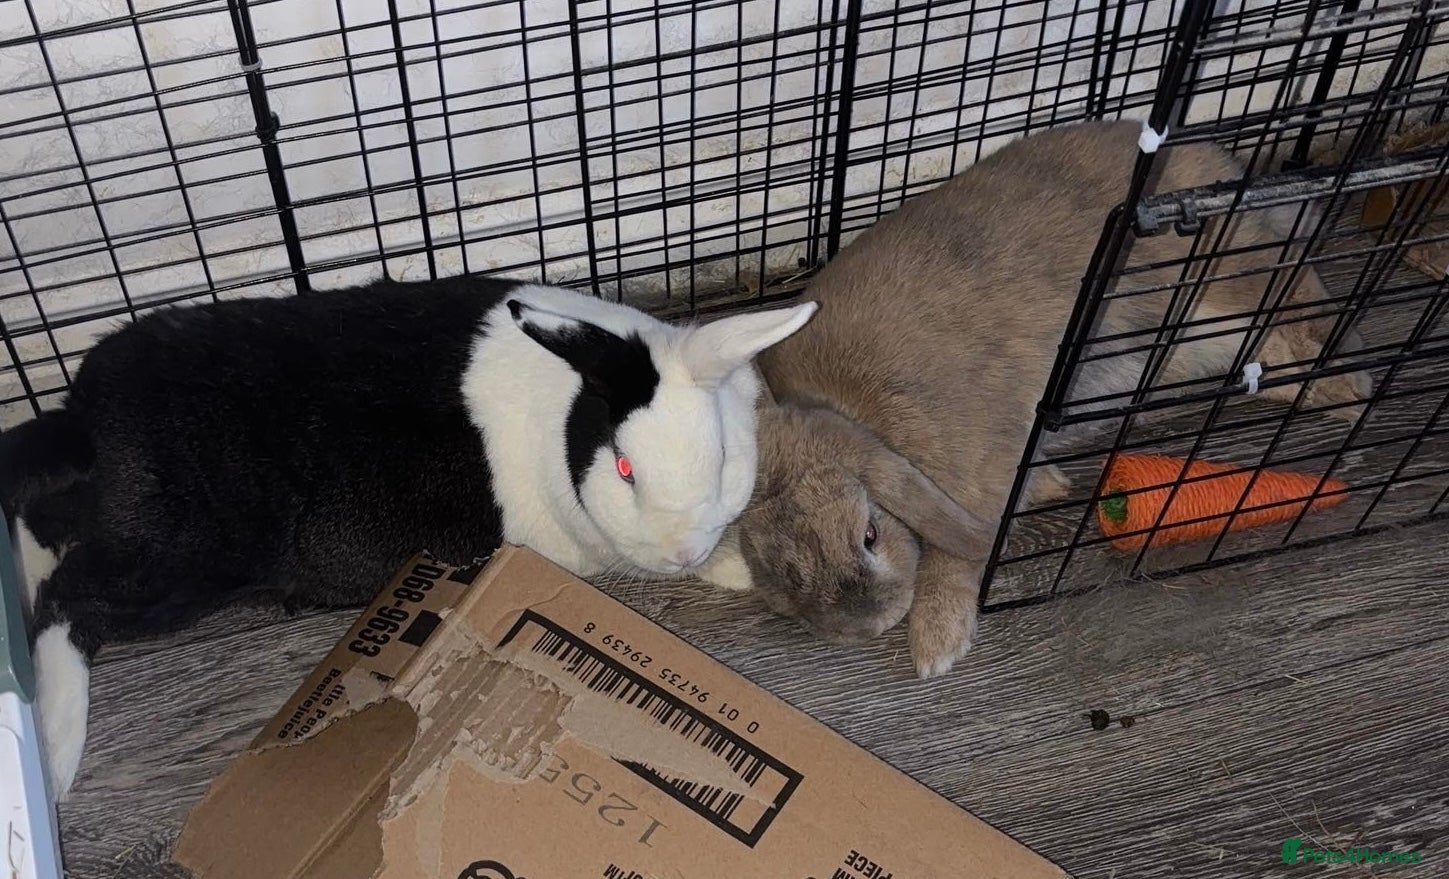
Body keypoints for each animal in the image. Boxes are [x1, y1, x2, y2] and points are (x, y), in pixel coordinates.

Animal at [0, 273, 817, 799]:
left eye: (724, 458)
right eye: (623, 468)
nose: (684, 549)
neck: (563, 413)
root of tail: (83, 413)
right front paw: (736, 571)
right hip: (178, 557)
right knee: (71, 600)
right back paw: (57, 751)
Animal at [696, 120, 1373, 679]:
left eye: (869, 533)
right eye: (783, 578)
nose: (870, 624)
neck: (855, 413)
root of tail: (1210, 158)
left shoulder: (977, 475)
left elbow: (955, 554)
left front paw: (936, 644)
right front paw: (1049, 487)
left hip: (1226, 279)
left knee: (1300, 294)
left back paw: (1355, 389)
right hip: (1195, 346)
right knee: (1270, 352)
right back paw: (1336, 394)